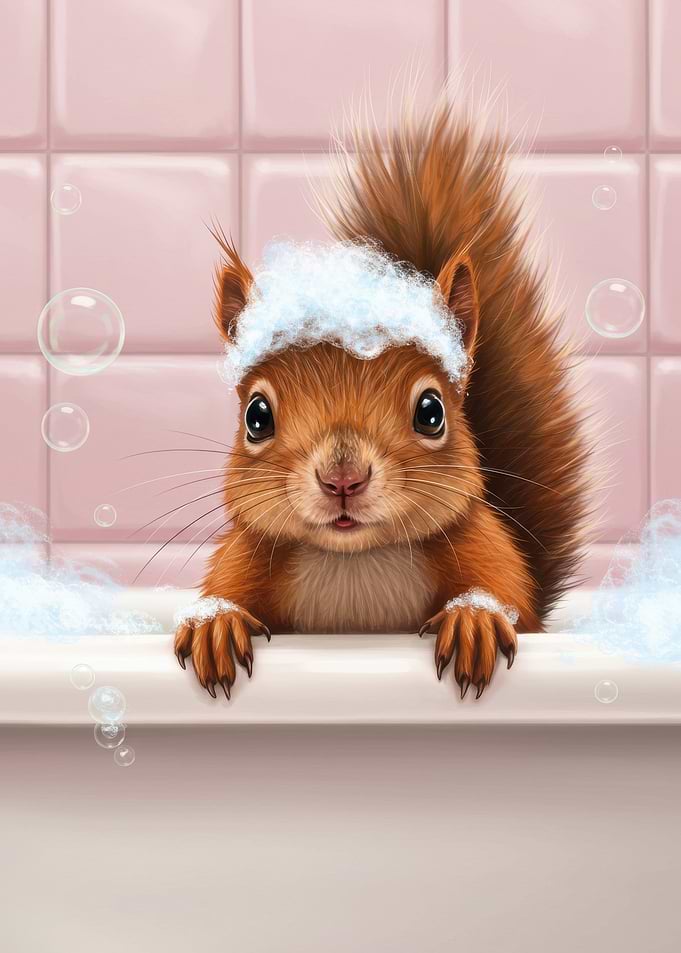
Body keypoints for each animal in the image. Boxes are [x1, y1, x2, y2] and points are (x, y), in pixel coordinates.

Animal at [173, 93, 590, 701]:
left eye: (431, 412)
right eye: (256, 416)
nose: (342, 479)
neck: (355, 563)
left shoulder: (485, 545)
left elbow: (507, 593)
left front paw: (474, 617)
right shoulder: (243, 556)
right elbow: (223, 589)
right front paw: (217, 623)